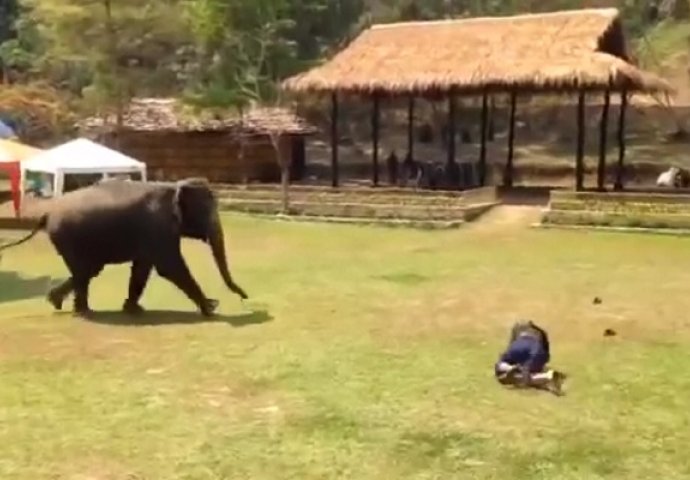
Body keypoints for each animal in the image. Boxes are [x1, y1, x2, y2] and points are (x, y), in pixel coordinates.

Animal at [0, 178, 247, 316]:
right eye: (208, 212)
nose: (245, 297)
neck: (175, 186)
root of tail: (46, 214)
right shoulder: (158, 227)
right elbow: (169, 267)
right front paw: (210, 309)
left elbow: (143, 267)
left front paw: (133, 309)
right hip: (68, 237)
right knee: (85, 271)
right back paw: (78, 310)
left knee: (86, 272)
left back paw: (65, 305)